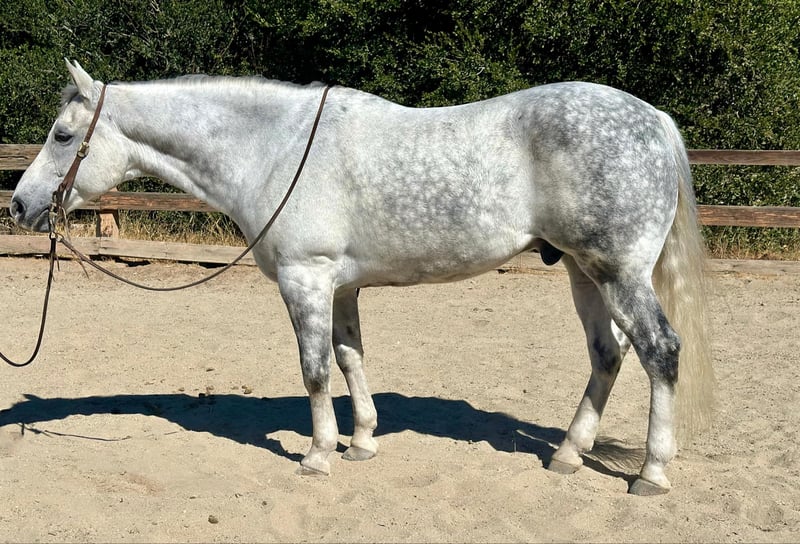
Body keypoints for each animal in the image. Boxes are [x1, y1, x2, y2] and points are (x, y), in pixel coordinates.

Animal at [10, 60, 714, 495]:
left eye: (63, 134)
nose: (19, 205)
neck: (273, 147)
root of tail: (654, 120)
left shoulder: (305, 279)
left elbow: (315, 369)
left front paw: (319, 455)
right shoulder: (341, 286)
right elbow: (350, 358)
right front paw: (362, 443)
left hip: (617, 272)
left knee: (660, 351)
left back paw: (651, 474)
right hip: (581, 271)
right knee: (607, 355)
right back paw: (567, 454)